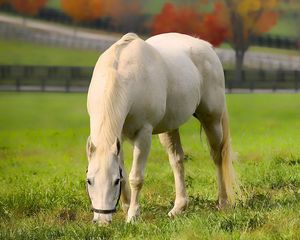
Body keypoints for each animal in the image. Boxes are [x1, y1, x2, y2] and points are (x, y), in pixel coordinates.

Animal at [85, 32, 238, 224]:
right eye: (89, 181)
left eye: (114, 181)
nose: (102, 221)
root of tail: (206, 46)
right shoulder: (117, 137)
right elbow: (125, 173)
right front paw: (126, 208)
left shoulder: (143, 134)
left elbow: (136, 177)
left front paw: (133, 215)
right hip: (170, 128)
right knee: (177, 160)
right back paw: (178, 208)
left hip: (212, 120)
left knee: (218, 157)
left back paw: (223, 202)